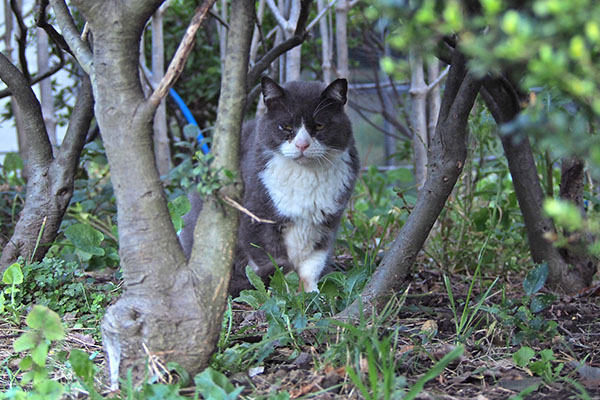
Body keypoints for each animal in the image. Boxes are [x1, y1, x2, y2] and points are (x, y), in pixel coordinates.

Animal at [182, 76, 360, 296]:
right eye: (285, 126)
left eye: (319, 126)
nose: (302, 145)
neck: (305, 175)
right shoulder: (256, 220)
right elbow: (275, 263)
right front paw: (286, 294)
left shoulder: (328, 224)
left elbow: (312, 264)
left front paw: (311, 295)